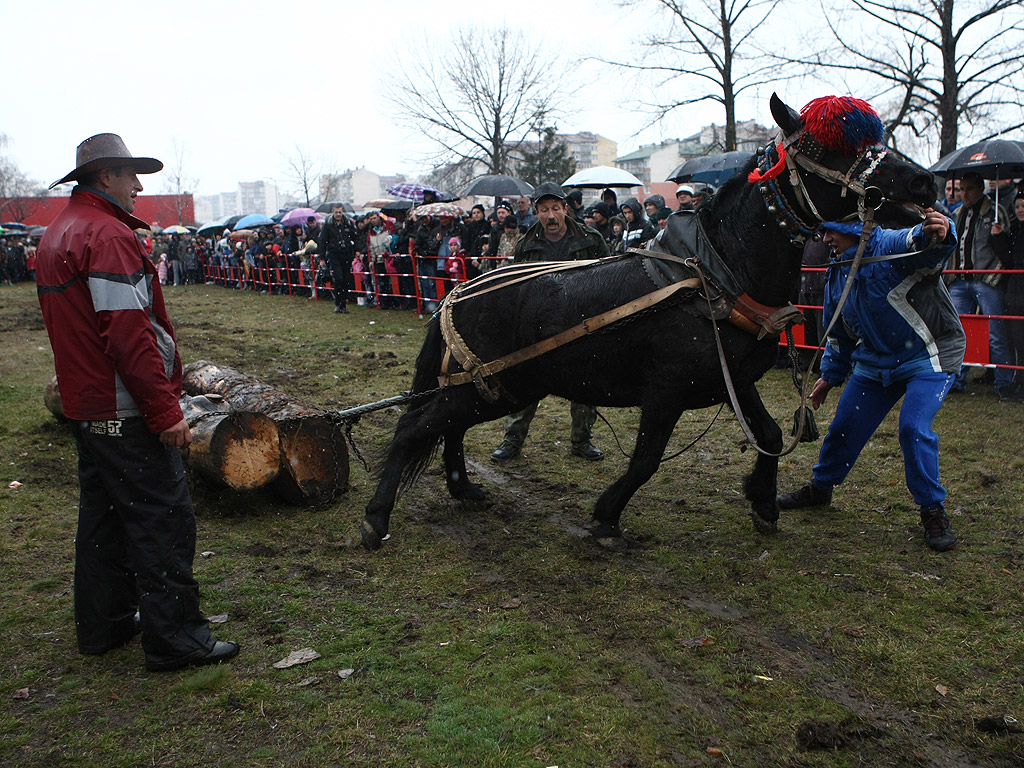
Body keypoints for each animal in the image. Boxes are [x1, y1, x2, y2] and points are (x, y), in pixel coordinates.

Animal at [358, 96, 937, 548]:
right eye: (823, 147)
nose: (923, 181)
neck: (716, 276)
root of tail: (459, 292)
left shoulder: (735, 379)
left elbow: (770, 431)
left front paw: (764, 503)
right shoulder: (665, 392)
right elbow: (645, 460)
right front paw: (606, 517)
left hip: (495, 386)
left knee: (447, 427)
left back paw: (461, 486)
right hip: (493, 387)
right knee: (415, 426)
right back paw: (376, 519)